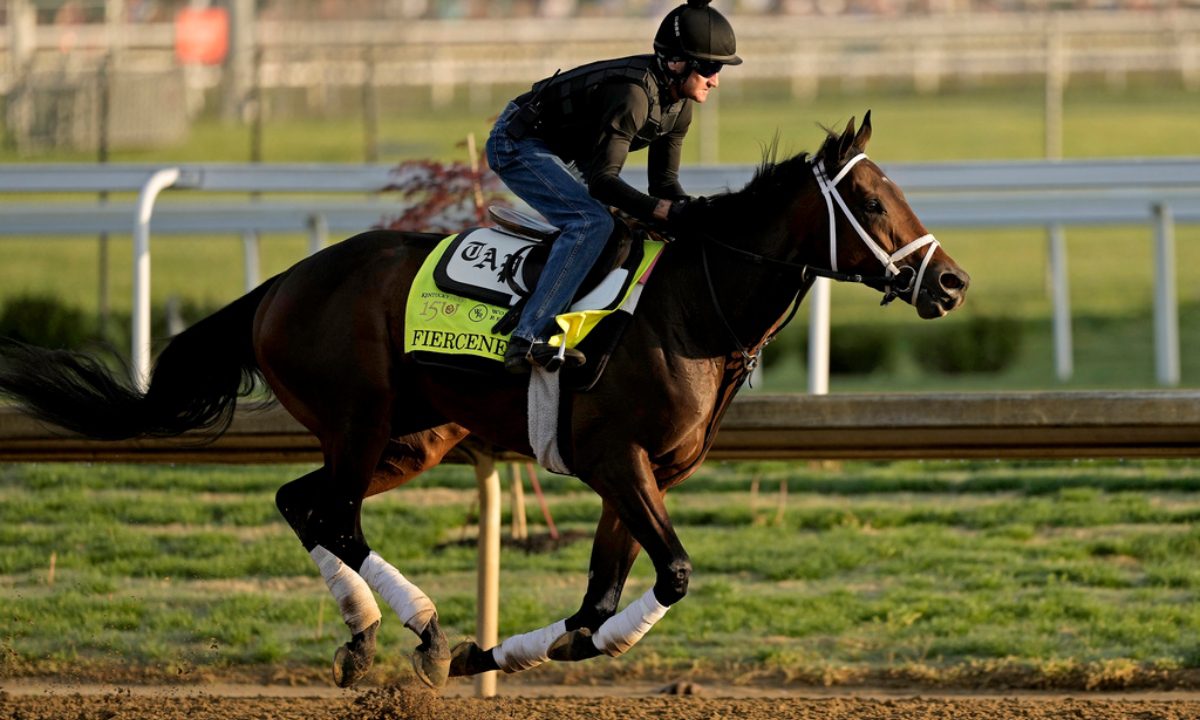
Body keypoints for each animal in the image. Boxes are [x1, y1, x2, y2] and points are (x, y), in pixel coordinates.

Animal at [0, 112, 968, 689]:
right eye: (871, 198)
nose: (952, 283)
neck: (690, 312)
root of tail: (279, 284)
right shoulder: (617, 460)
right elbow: (670, 577)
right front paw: (480, 648)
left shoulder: (637, 476)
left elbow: (595, 603)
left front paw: (495, 653)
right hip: (359, 418)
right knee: (335, 514)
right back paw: (419, 629)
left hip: (414, 436)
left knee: (303, 503)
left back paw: (367, 637)